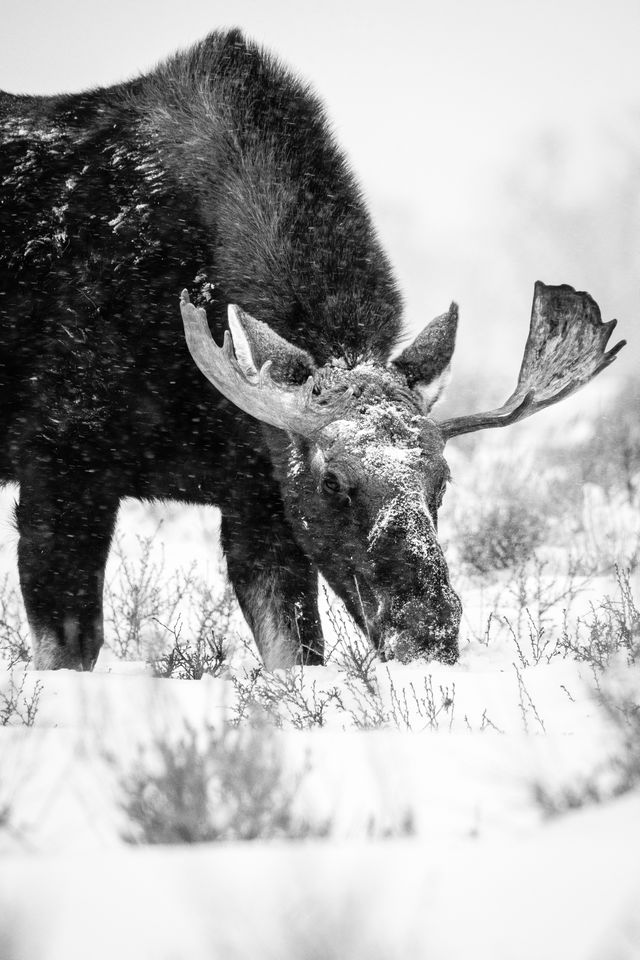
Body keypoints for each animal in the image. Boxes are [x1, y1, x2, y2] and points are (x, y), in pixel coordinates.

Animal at [0, 28, 624, 668]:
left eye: (442, 480)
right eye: (332, 481)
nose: (428, 633)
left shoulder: (260, 492)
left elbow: (296, 646)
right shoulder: (60, 462)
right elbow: (66, 649)